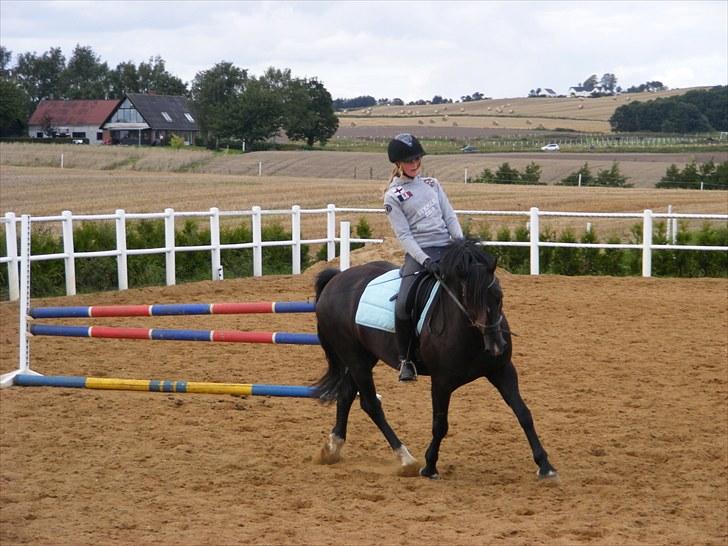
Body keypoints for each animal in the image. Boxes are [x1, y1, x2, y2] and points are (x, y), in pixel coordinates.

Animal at [312, 237, 556, 476]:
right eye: (468, 297)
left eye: (499, 295)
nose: (496, 346)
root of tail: (336, 280)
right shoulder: (441, 382)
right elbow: (440, 425)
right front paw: (429, 466)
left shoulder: (501, 370)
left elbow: (523, 413)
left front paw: (545, 465)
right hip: (356, 360)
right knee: (371, 404)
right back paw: (405, 459)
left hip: (363, 357)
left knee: (346, 395)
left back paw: (333, 448)